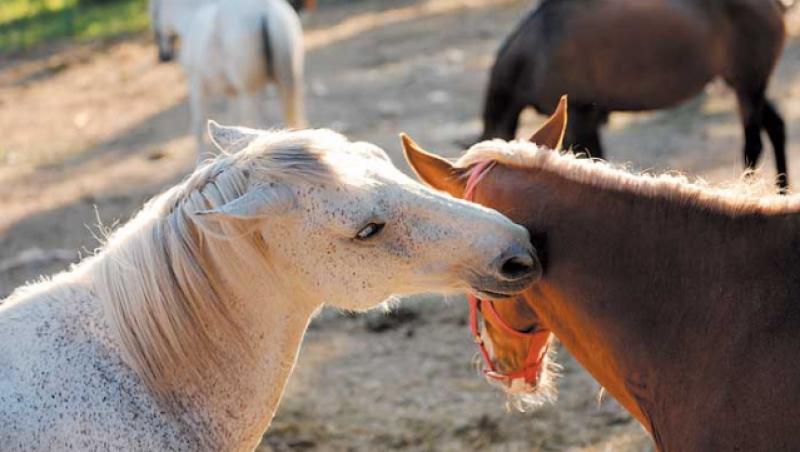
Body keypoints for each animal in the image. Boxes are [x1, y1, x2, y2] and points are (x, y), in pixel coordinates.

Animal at [150, 0, 310, 159]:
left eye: (154, 13)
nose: (163, 57)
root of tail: (266, 11)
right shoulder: (231, 91)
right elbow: (231, 121)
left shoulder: (196, 85)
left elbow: (198, 125)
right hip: (289, 81)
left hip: (248, 92)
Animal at [482, 0, 788, 189]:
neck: (538, 48)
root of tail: (775, 5)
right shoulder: (585, 119)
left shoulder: (581, 114)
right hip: (744, 85)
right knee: (776, 128)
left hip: (749, 85)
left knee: (753, 145)